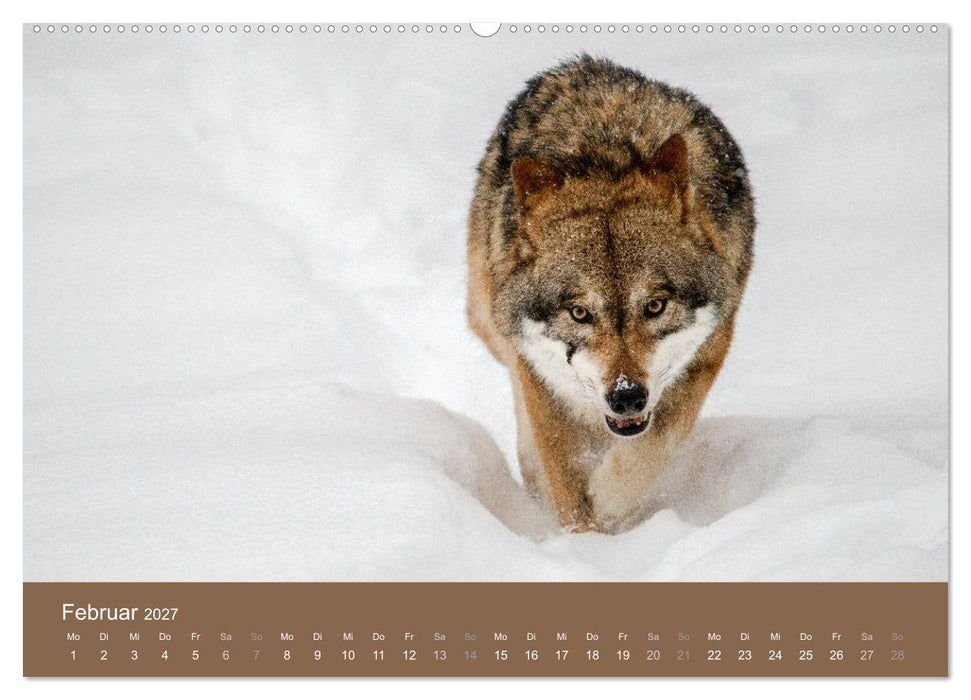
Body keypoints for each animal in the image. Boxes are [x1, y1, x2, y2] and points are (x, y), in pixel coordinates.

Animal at [467, 55, 755, 533]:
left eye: (655, 306)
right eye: (579, 313)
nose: (626, 396)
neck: (609, 160)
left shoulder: (705, 355)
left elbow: (646, 453)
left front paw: (608, 508)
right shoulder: (541, 380)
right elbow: (564, 479)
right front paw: (581, 538)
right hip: (489, 321)